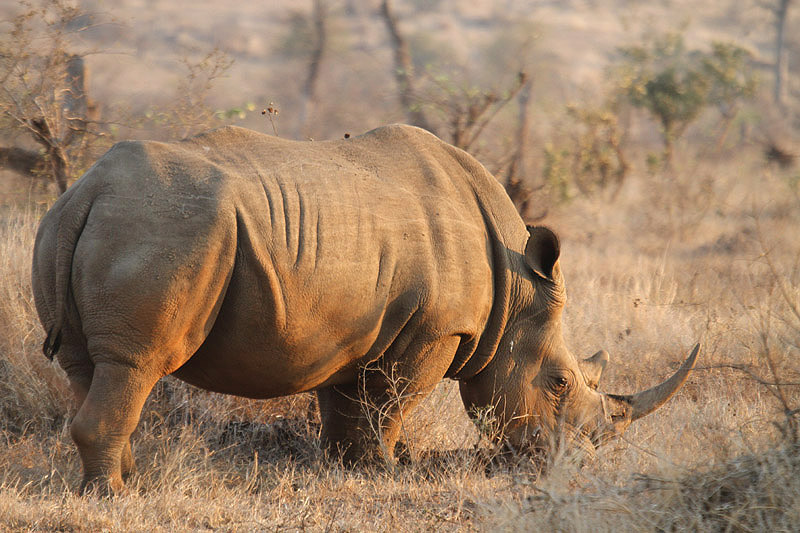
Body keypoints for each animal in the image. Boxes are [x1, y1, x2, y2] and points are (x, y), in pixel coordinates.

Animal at [32, 124, 698, 493]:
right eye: (559, 383)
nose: (575, 465)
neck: (518, 289)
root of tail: (88, 188)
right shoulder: (437, 329)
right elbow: (392, 403)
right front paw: (387, 470)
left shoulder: (346, 327)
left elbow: (344, 400)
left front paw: (343, 465)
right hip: (168, 230)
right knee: (135, 363)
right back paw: (113, 499)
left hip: (76, 224)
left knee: (86, 366)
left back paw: (125, 480)